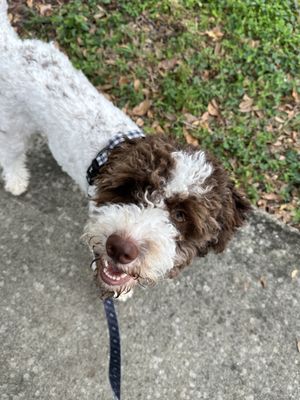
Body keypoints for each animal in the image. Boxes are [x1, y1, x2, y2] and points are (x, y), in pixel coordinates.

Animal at [0, 0, 251, 300]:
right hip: (14, 123)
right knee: (11, 153)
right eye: (131, 189)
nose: (120, 247)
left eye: (180, 216)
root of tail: (14, 48)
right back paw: (16, 180)